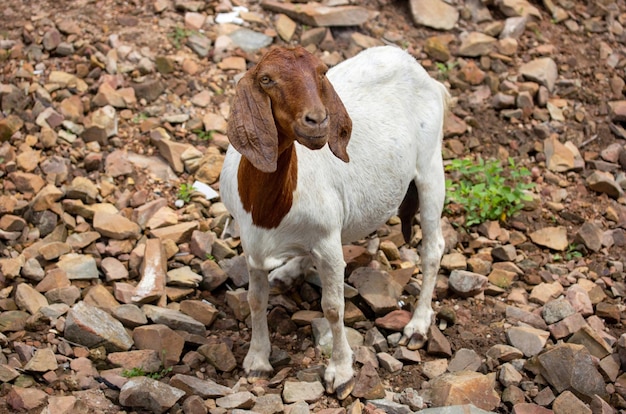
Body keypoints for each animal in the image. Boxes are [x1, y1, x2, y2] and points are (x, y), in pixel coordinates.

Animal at [219, 44, 448, 398]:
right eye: (267, 79)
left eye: (321, 72)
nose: (317, 121)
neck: (270, 210)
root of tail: (416, 67)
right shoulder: (251, 241)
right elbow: (255, 299)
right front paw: (257, 360)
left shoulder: (326, 241)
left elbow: (332, 307)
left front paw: (340, 371)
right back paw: (290, 271)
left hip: (431, 164)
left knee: (433, 248)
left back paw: (417, 327)